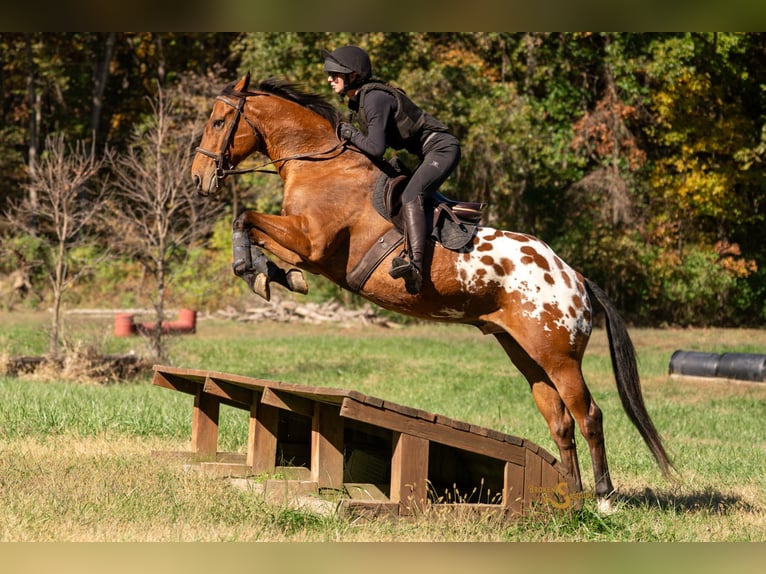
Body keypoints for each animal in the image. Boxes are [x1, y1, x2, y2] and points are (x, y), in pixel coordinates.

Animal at [191, 73, 673, 512]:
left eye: (218, 121)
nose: (198, 178)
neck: (321, 165)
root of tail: (574, 276)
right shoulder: (306, 248)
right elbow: (250, 227)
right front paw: (270, 274)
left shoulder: (312, 243)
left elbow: (245, 219)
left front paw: (255, 271)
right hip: (526, 353)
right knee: (559, 420)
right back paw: (568, 497)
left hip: (559, 357)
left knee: (588, 415)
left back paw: (604, 499)